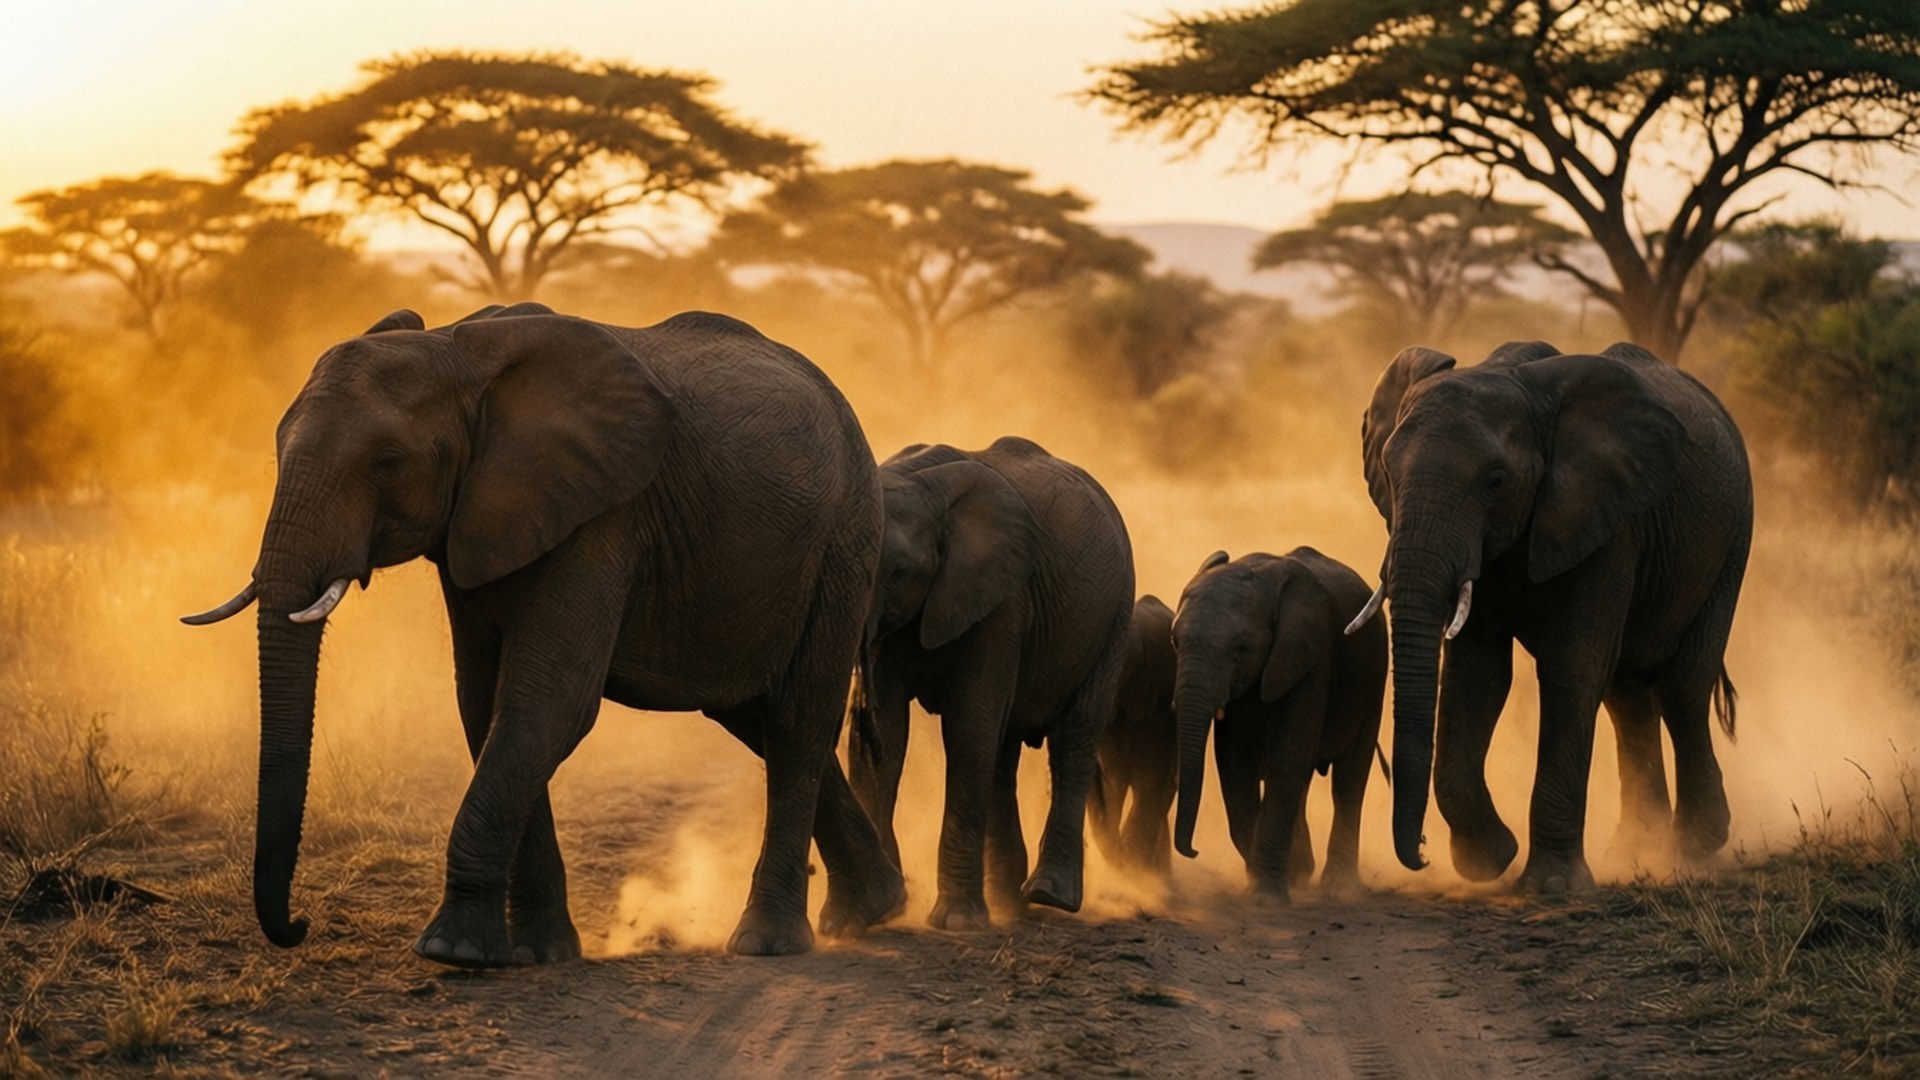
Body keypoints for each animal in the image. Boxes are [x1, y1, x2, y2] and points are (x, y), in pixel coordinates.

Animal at [183, 304, 905, 966]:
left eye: (388, 461)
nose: (299, 926)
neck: (458, 351)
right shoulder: (477, 522)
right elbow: (485, 707)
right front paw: (538, 952)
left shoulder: (605, 517)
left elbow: (545, 705)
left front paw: (452, 951)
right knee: (757, 716)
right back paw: (875, 907)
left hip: (845, 540)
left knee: (797, 722)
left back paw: (769, 943)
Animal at [847, 438, 1135, 930]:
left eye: (900, 571)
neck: (922, 483)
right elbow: (891, 731)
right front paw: (890, 909)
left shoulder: (1003, 600)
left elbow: (969, 728)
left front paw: (956, 922)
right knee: (1003, 753)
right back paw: (1007, 903)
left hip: (1114, 618)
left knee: (1073, 738)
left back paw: (1049, 895)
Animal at [1171, 548, 1387, 902]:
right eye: (1175, 642)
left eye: (1242, 648)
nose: (1193, 852)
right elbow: (1235, 766)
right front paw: (1274, 877)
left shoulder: (1311, 658)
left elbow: (1286, 762)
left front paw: (1265, 896)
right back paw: (1303, 872)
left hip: (1373, 684)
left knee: (1348, 781)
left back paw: (1337, 886)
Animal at [1352, 340, 1751, 893]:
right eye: (1388, 473)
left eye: (1495, 481)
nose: (1422, 855)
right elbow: (1476, 676)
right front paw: (1490, 859)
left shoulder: (1608, 525)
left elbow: (1572, 668)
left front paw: (1552, 886)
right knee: (1626, 695)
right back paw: (1636, 849)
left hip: (1733, 537)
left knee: (1683, 684)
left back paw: (1694, 846)